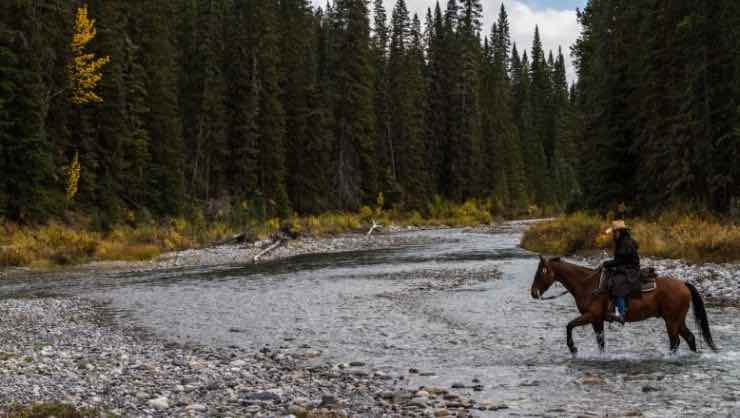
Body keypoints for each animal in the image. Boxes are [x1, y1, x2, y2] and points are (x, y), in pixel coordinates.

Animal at [528, 255, 720, 356]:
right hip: (678, 320)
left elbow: (569, 325)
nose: (533, 292)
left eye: (541, 272)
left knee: (675, 341)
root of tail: (683, 284)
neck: (587, 285)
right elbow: (601, 342)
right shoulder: (597, 320)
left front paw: (573, 348)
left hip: (671, 321)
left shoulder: (591, 316)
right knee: (690, 338)